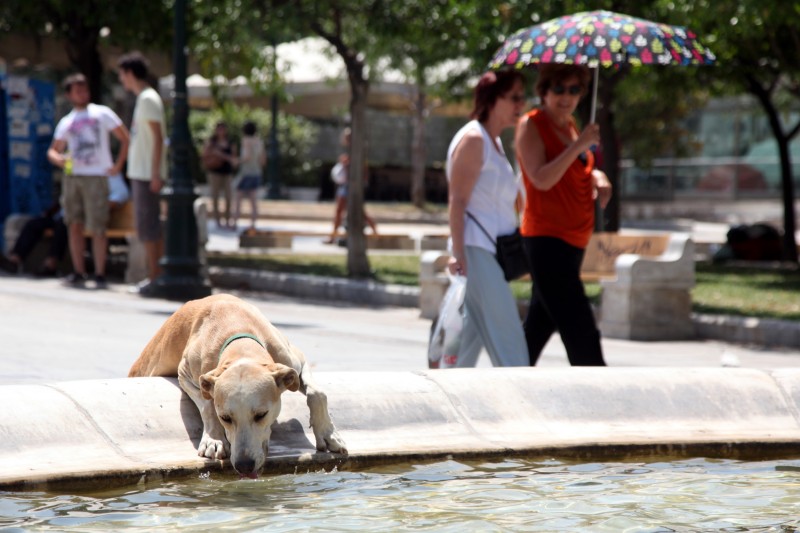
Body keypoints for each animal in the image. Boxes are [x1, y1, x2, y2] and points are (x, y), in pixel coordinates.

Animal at [128, 294, 346, 476]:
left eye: (261, 415)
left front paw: (329, 435)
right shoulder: (186, 373)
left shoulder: (294, 360)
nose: (244, 466)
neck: (240, 341)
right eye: (225, 417)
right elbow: (208, 404)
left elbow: (317, 393)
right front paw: (214, 439)